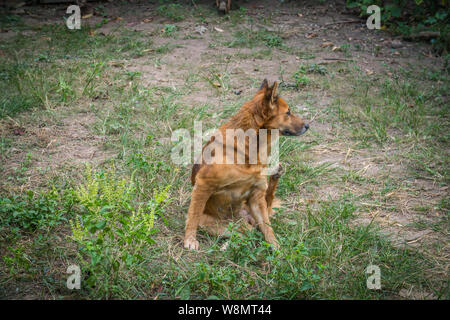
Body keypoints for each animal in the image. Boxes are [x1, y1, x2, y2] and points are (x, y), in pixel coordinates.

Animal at [185, 79, 308, 250]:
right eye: (288, 112)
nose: (307, 126)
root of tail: (245, 219)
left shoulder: (256, 195)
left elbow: (268, 229)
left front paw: (277, 249)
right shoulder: (203, 183)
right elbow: (193, 215)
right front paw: (189, 240)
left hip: (255, 207)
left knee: (266, 207)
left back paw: (276, 174)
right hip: (222, 225)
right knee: (245, 233)